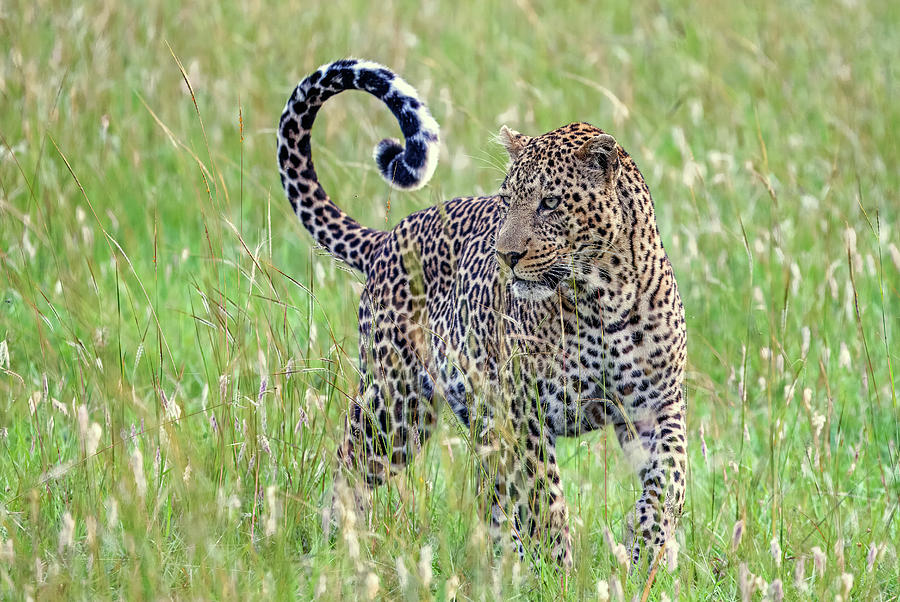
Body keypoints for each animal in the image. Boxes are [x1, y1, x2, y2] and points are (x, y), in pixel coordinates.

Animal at [278, 58, 684, 568]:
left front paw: (647, 546)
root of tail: (387, 238)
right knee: (350, 467)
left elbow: (671, 476)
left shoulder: (657, 405)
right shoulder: (523, 411)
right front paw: (560, 569)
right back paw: (339, 546)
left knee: (491, 494)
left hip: (473, 419)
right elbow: (544, 498)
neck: (601, 296)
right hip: (396, 405)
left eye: (550, 202)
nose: (505, 255)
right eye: (508, 200)